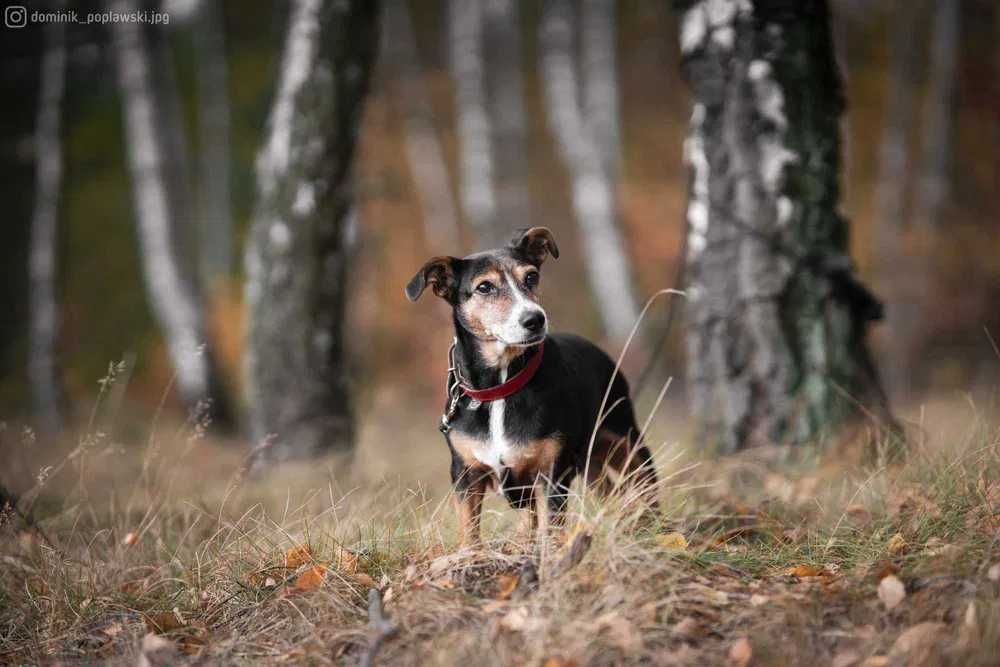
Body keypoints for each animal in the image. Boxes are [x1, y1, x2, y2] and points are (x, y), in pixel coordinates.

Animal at [404, 227, 656, 544]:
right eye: (484, 287)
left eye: (531, 276)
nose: (535, 319)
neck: (500, 387)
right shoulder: (465, 474)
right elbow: (469, 530)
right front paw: (470, 554)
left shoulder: (551, 473)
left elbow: (551, 527)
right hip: (589, 459)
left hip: (624, 435)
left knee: (647, 483)